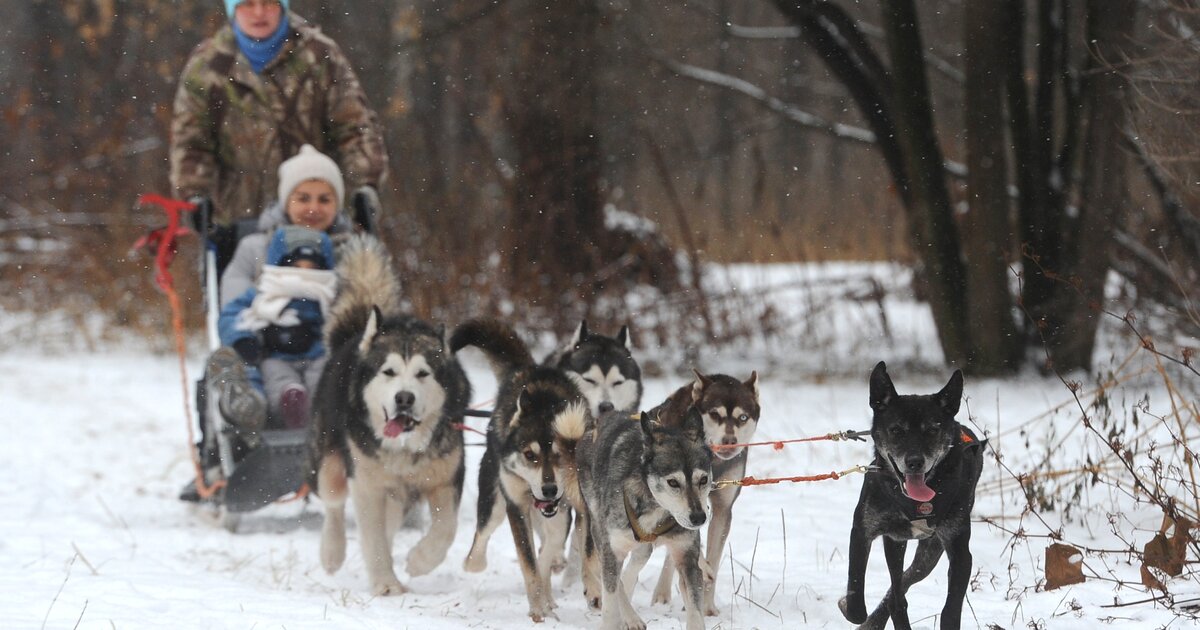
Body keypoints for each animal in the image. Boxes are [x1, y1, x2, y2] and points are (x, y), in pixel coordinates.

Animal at [844, 362, 984, 628]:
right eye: (896, 430)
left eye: (932, 430)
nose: (915, 462)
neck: (915, 502)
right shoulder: (863, 530)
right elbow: (856, 597)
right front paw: (854, 609)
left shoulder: (960, 549)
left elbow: (951, 609)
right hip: (897, 543)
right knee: (897, 587)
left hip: (929, 551)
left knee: (907, 578)